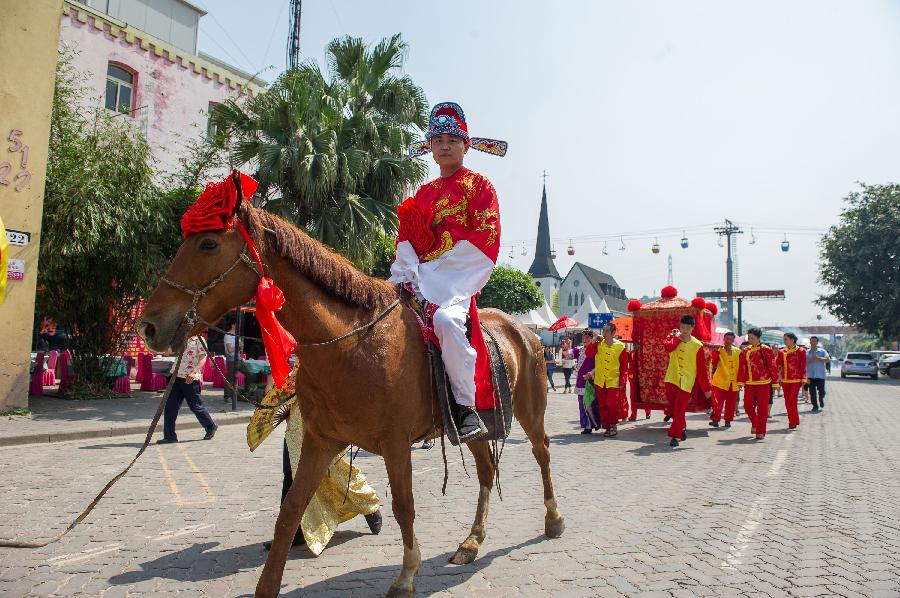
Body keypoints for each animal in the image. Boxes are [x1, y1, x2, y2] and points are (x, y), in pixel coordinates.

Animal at [139, 191, 564, 596]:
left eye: (209, 243)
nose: (148, 326)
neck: (354, 342)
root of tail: (521, 330)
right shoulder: (320, 440)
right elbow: (290, 510)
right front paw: (267, 585)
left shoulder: (395, 444)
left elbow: (404, 506)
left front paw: (406, 575)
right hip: (475, 428)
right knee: (486, 469)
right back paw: (472, 541)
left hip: (530, 409)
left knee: (541, 451)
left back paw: (553, 519)